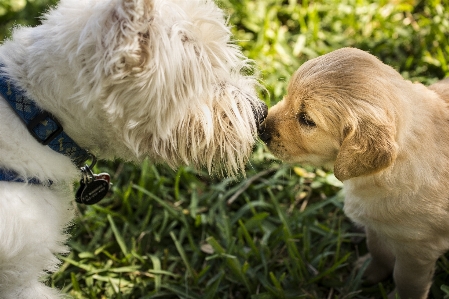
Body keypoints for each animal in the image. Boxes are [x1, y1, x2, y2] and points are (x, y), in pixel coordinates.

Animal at [260, 48, 448, 298]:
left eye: (306, 119)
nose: (260, 129)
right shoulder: (375, 226)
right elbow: (378, 250)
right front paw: (369, 272)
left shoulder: (417, 250)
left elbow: (407, 281)